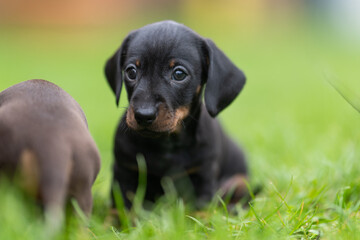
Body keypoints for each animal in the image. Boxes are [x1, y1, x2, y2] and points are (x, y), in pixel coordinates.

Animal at [105, 20, 248, 208]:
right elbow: (124, 209)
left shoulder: (204, 174)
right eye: (131, 72)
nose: (143, 115)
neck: (165, 145)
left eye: (179, 74)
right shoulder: (125, 171)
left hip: (239, 179)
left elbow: (201, 210)